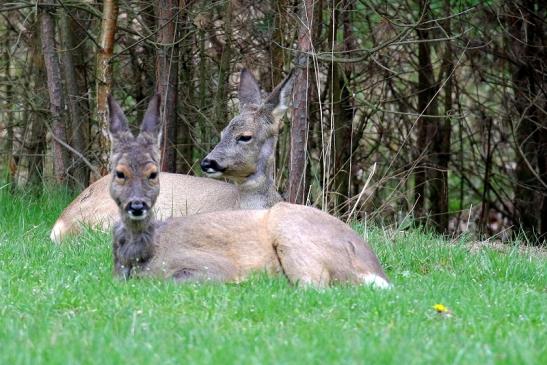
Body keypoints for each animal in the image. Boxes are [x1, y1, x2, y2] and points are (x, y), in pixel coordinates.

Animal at [109, 93, 390, 288]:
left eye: (153, 173)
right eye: (119, 172)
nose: (136, 205)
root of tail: (376, 272)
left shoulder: (209, 266)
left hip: (292, 232)